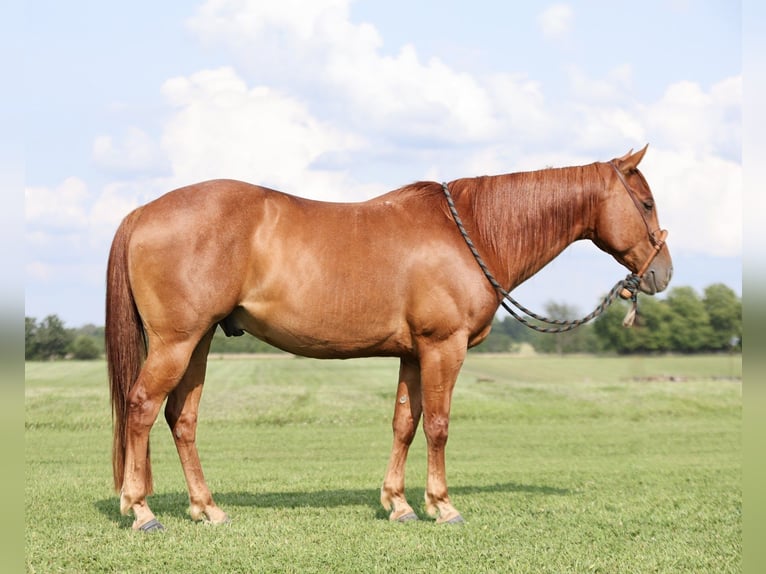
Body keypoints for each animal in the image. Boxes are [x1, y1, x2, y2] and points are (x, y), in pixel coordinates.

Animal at [106, 146, 672, 532]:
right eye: (645, 203)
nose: (661, 273)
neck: (469, 233)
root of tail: (143, 212)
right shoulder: (444, 346)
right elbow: (439, 426)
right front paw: (442, 505)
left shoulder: (414, 354)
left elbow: (405, 423)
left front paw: (399, 504)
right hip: (176, 342)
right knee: (140, 407)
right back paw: (141, 510)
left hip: (198, 342)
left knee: (181, 418)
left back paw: (207, 508)